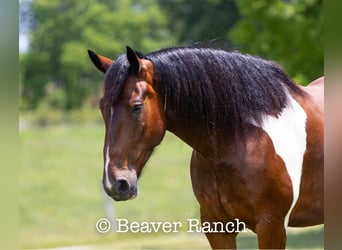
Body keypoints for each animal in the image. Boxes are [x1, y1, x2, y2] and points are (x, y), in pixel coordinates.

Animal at [87, 46, 324, 249]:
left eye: (136, 106)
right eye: (102, 108)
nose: (115, 183)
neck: (244, 139)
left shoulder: (271, 225)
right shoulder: (217, 227)